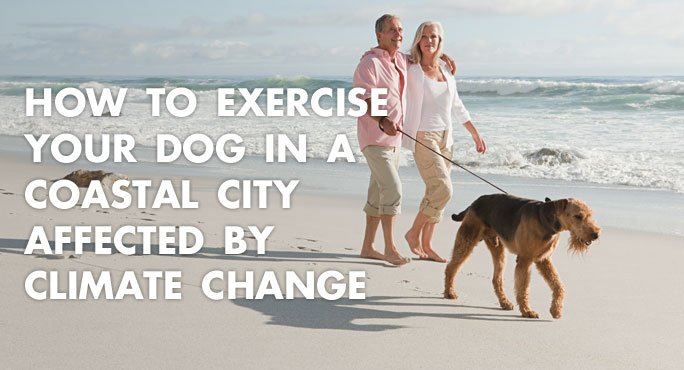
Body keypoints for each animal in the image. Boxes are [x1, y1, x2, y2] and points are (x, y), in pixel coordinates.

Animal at [444, 194, 600, 318]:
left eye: (590, 215)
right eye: (578, 216)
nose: (596, 234)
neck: (545, 220)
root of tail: (474, 202)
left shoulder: (544, 260)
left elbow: (558, 285)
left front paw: (555, 310)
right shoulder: (525, 260)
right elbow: (523, 288)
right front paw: (527, 311)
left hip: (498, 249)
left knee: (496, 279)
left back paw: (505, 302)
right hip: (467, 241)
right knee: (451, 267)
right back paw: (449, 293)